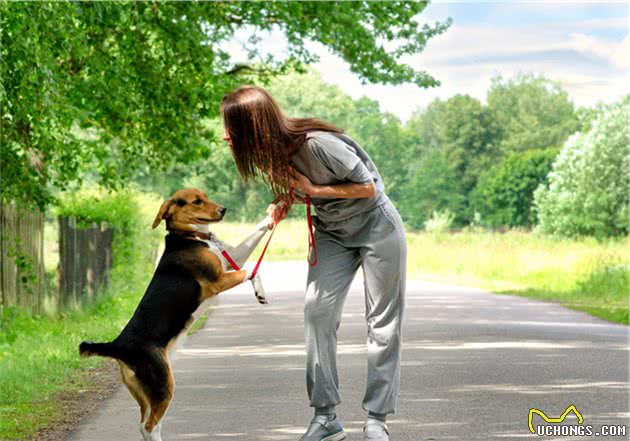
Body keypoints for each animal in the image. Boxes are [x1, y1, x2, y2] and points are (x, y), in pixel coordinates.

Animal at [79, 188, 262, 440]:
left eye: (206, 196)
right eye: (197, 201)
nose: (223, 210)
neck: (188, 237)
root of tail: (118, 344)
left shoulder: (233, 257)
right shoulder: (218, 281)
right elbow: (252, 270)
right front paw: (261, 291)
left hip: (144, 392)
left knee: (145, 424)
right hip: (163, 384)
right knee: (149, 426)